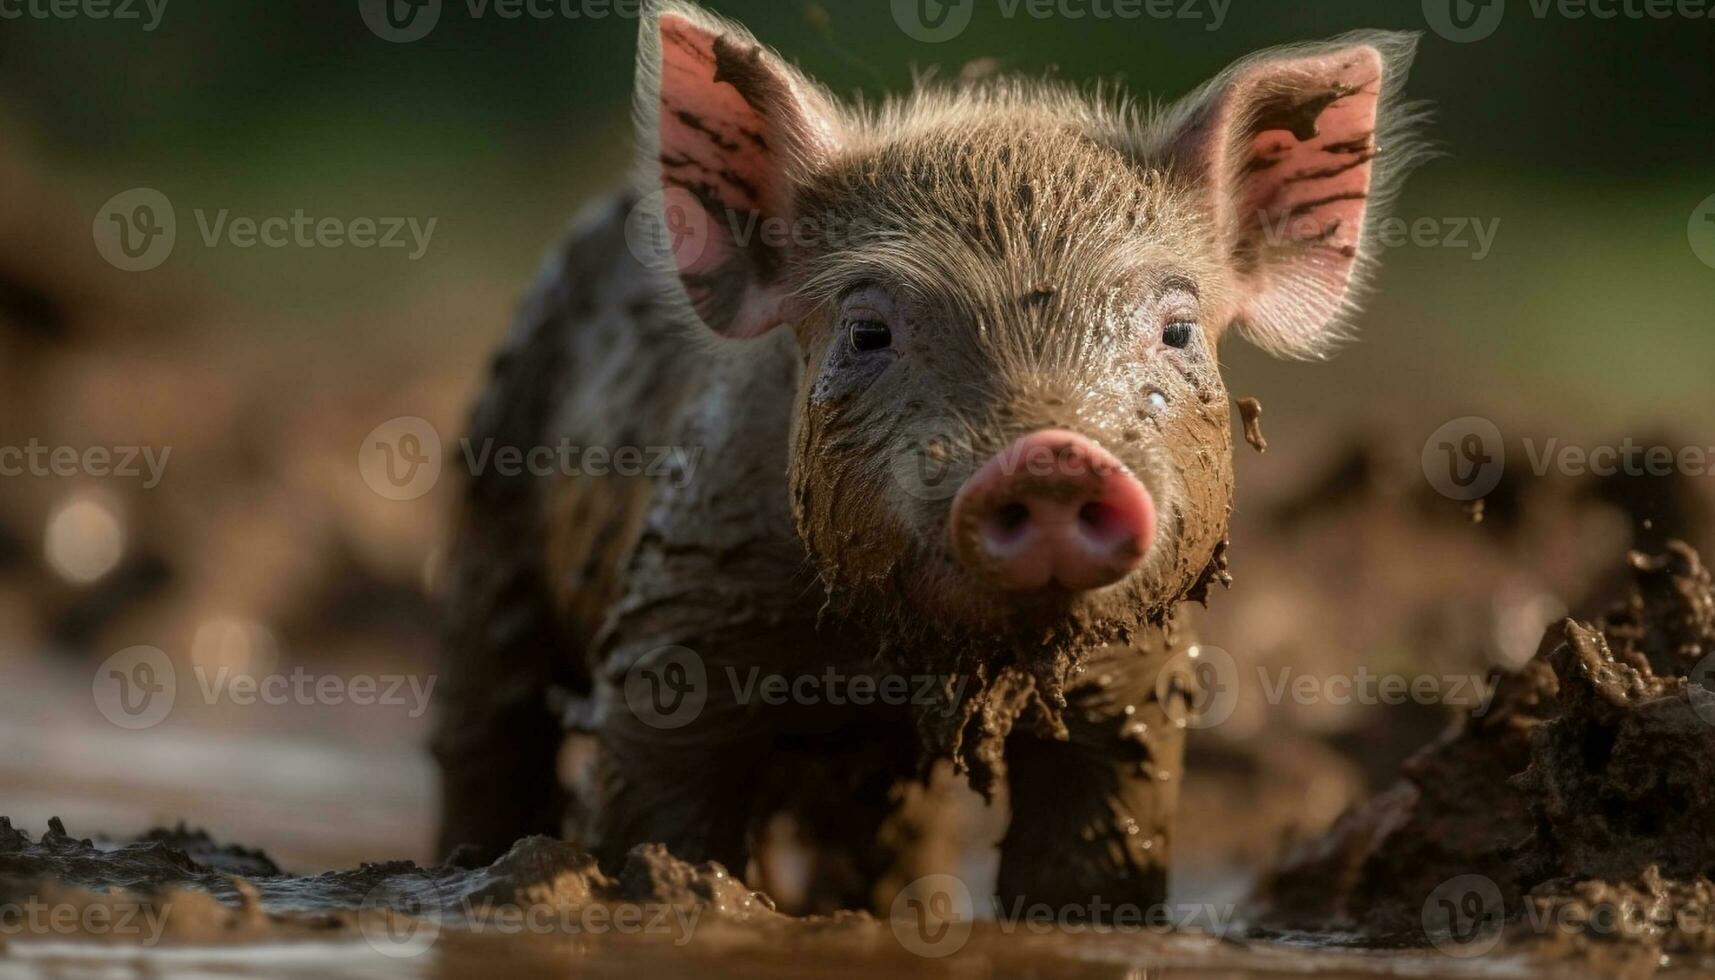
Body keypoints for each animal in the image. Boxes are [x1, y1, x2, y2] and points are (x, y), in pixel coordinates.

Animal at [435, 1, 1426, 919]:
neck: (908, 662)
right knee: (484, 729)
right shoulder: (671, 621)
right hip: (490, 517)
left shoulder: (1137, 683)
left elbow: (1094, 854)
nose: (1052, 455)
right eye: (868, 331)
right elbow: (660, 802)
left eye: (1178, 330)